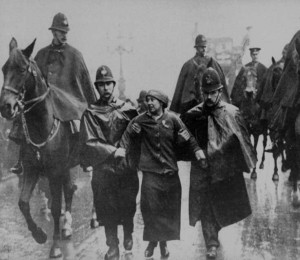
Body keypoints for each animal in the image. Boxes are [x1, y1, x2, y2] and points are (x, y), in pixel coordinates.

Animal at [0, 38, 78, 258]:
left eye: (22, 69)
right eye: (4, 69)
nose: (6, 107)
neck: (41, 127)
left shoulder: (54, 172)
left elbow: (56, 206)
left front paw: (55, 246)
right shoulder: (32, 170)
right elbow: (23, 203)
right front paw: (39, 234)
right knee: (70, 189)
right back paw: (66, 226)